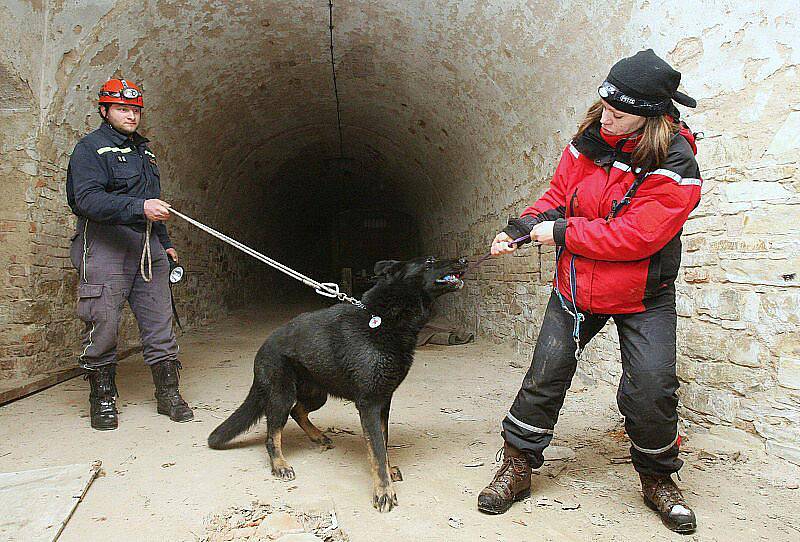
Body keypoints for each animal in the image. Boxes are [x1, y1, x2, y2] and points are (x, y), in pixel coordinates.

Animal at [208, 258, 468, 512]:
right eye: (430, 262)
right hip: (282, 397)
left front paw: (388, 473)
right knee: (273, 435)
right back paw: (280, 465)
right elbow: (377, 449)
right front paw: (384, 491)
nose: (464, 261)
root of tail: (263, 347)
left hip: (317, 395)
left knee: (297, 411)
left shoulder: (384, 403)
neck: (385, 319)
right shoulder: (370, 405)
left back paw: (318, 437)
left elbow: (383, 445)